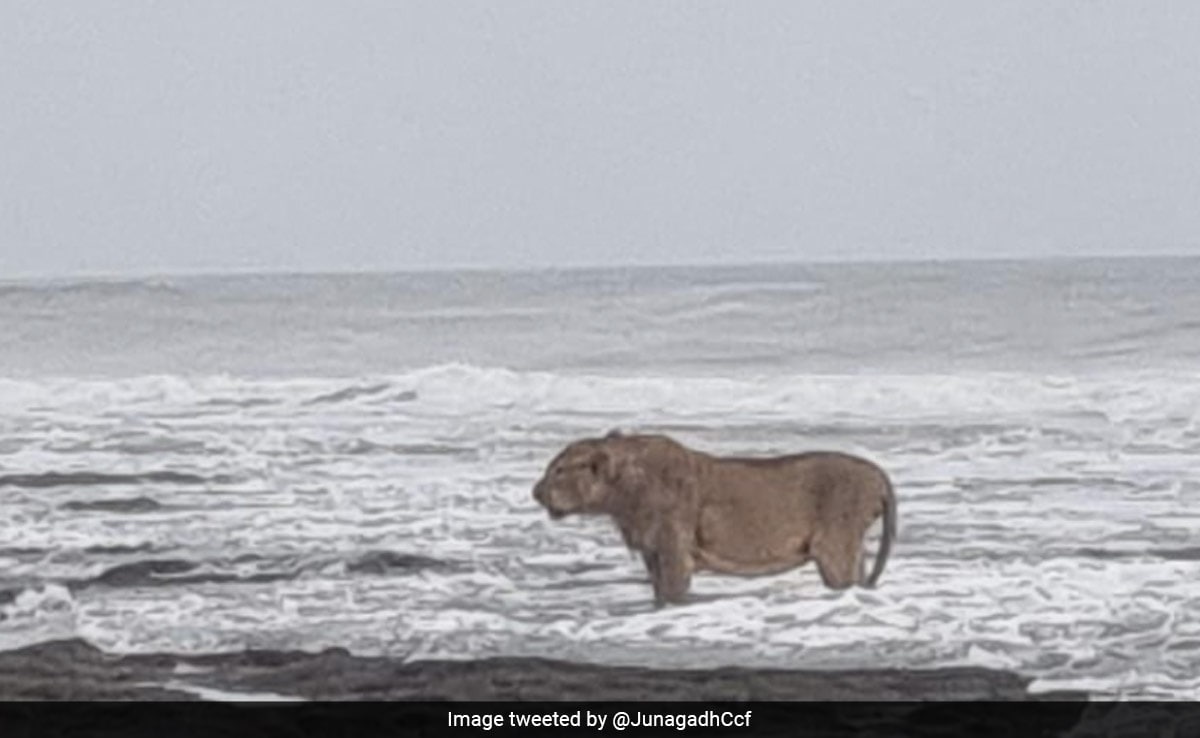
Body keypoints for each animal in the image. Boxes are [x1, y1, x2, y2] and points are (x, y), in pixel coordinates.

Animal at [532, 430, 896, 607]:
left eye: (559, 470)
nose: (535, 492)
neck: (622, 495)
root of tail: (879, 474)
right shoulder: (652, 552)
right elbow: (658, 593)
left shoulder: (673, 548)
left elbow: (673, 592)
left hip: (835, 547)